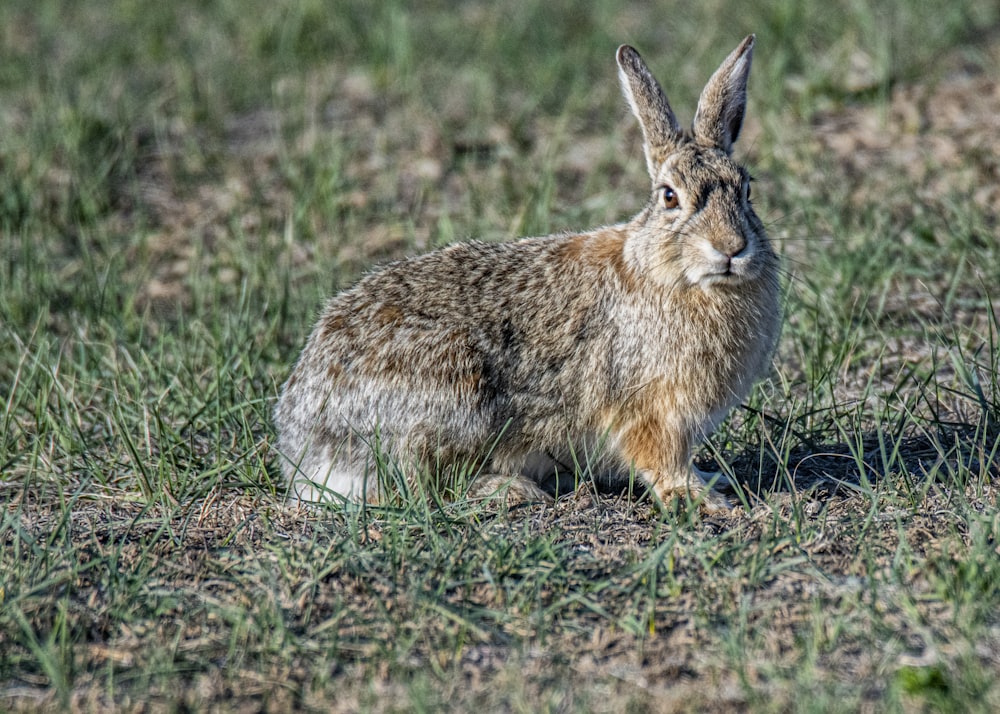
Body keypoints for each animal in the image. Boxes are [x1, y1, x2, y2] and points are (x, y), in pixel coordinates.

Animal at [272, 36, 780, 512]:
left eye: (747, 190)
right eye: (670, 196)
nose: (731, 248)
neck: (673, 276)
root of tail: (303, 446)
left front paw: (711, 482)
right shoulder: (650, 409)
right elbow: (661, 457)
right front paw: (698, 497)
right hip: (454, 397)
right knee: (421, 486)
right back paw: (509, 488)